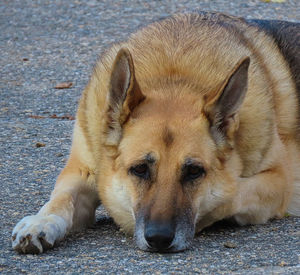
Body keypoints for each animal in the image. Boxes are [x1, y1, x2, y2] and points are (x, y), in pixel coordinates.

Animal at [11, 12, 300, 254]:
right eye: (139, 169)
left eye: (194, 171)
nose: (159, 239)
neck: (174, 77)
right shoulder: (81, 170)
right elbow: (61, 198)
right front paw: (40, 222)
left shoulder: (277, 182)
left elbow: (229, 194)